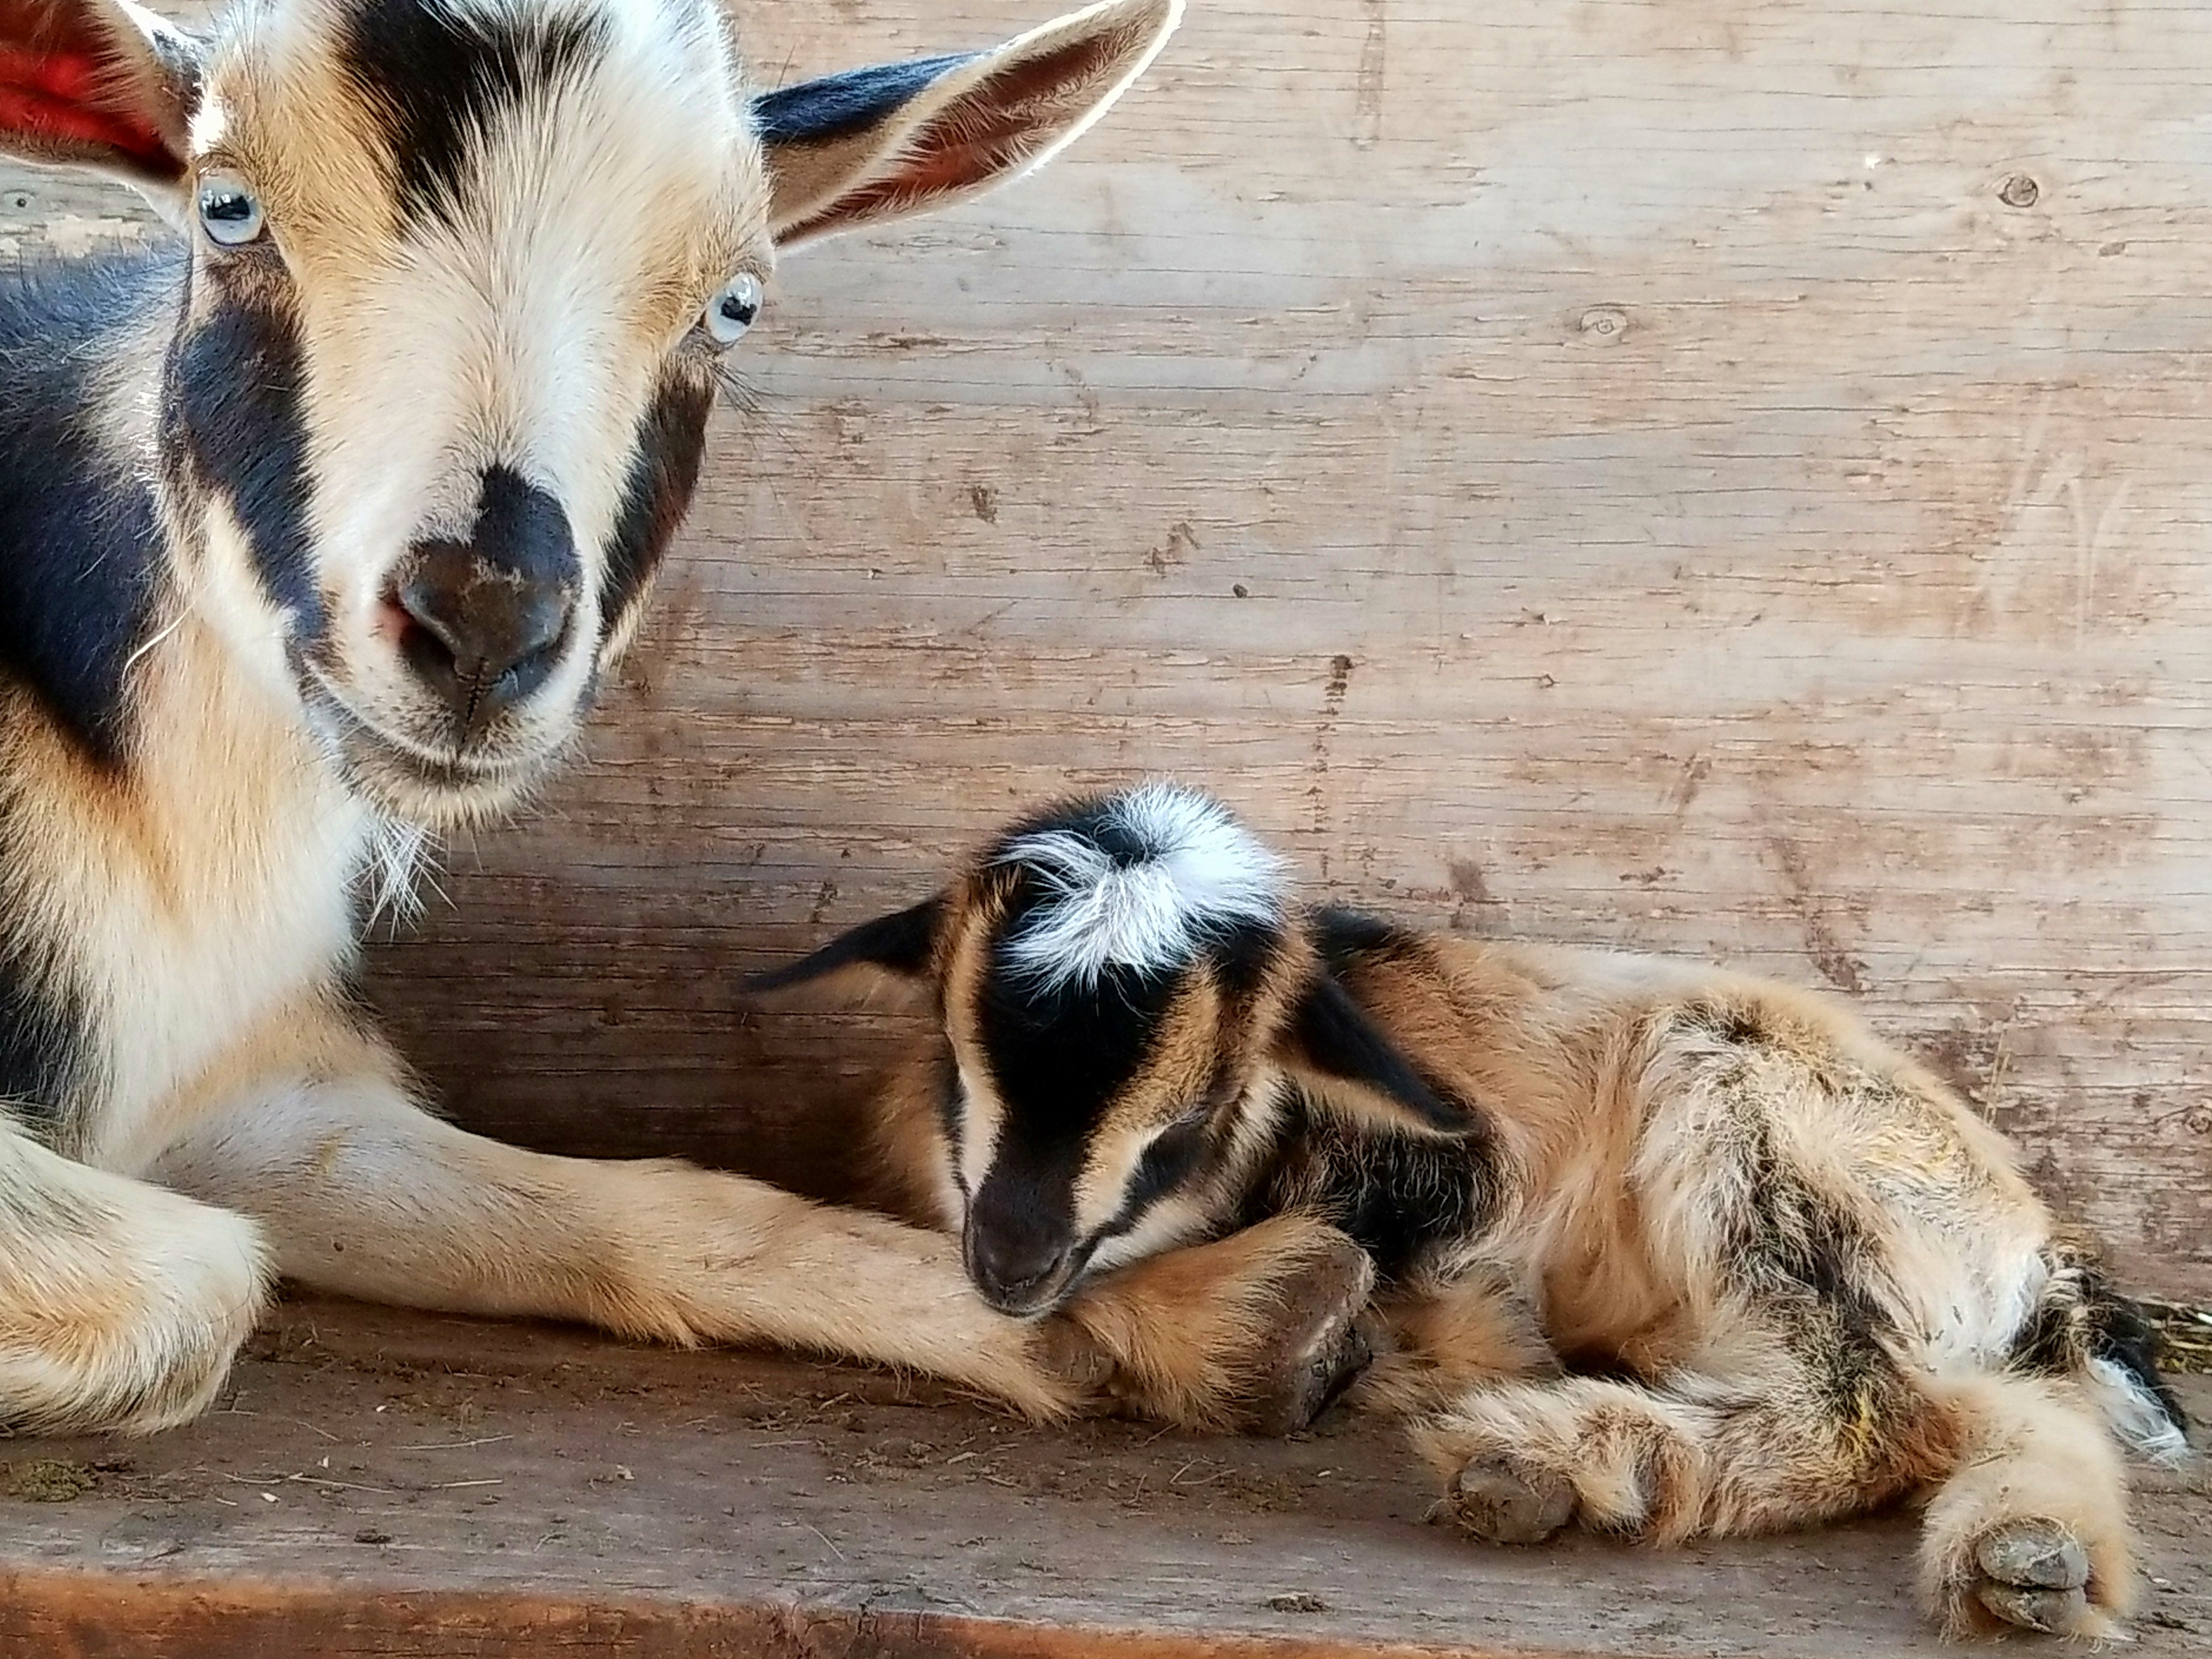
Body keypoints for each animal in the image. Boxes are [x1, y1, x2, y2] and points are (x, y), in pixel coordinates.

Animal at [0, 0, 1373, 1439]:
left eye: (735, 302)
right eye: (228, 210)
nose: (485, 626)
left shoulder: (232, 1087)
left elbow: (642, 1204)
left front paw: (1215, 1312)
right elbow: (193, 1283)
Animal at [753, 780, 2191, 1642]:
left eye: (1190, 1119)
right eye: (958, 1068)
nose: (1011, 1256)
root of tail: (2039, 1248)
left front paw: (1379, 1345)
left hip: (1749, 1124)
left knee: (1870, 1406)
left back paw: (1564, 1458)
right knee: (2005, 1414)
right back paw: (2027, 1559)